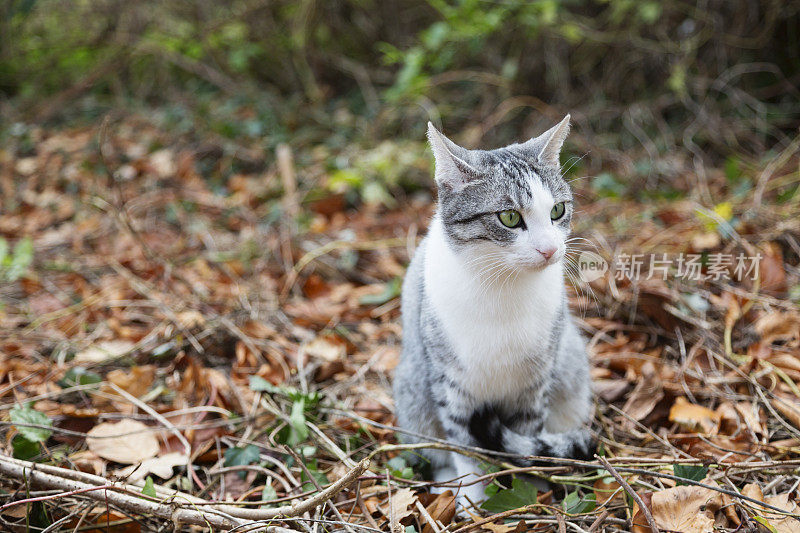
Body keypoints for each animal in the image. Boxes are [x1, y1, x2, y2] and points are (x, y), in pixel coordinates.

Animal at [394, 115, 592, 508]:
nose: (550, 250)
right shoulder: (451, 385)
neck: (504, 287)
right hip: (413, 397)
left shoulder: (535, 382)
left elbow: (525, 440)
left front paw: (530, 488)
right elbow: (464, 447)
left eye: (557, 211)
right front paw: (472, 498)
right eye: (510, 217)